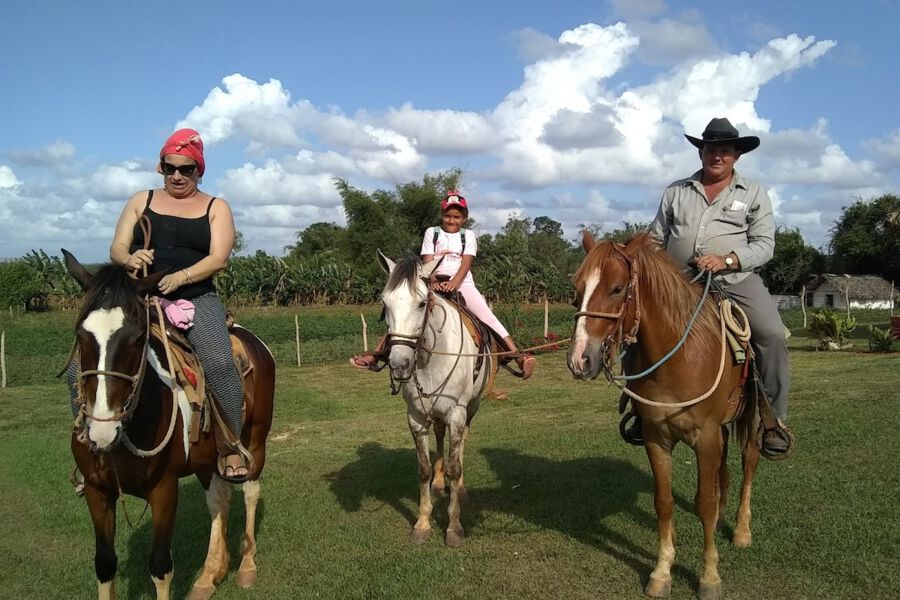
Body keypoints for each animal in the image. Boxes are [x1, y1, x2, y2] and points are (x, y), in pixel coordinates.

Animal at [63, 252, 276, 600]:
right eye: (81, 335)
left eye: (138, 337)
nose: (102, 432)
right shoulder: (98, 490)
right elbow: (105, 564)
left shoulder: (164, 489)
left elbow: (161, 566)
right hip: (207, 458)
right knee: (219, 498)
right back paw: (210, 574)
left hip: (256, 440)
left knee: (249, 490)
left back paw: (246, 565)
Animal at [378, 251, 496, 548]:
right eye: (384, 302)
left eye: (422, 303)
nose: (399, 363)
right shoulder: (416, 417)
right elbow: (423, 468)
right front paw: (422, 523)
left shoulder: (456, 412)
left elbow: (455, 465)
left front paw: (454, 527)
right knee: (441, 439)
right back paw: (439, 483)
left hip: (471, 407)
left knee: (462, 440)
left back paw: (459, 487)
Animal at [568, 233, 760, 600]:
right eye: (577, 289)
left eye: (617, 289)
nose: (580, 360)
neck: (680, 357)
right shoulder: (657, 438)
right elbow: (664, 502)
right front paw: (661, 571)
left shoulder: (705, 437)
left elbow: (703, 502)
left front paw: (709, 577)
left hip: (752, 418)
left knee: (749, 460)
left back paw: (742, 530)